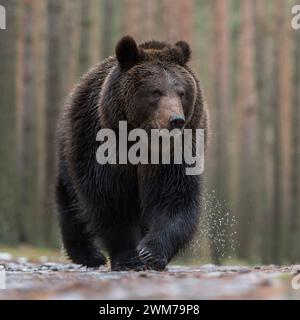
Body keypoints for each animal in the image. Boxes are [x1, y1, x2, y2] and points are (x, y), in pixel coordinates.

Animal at [55, 35, 209, 270]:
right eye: (156, 92)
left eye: (181, 92)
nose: (176, 120)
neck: (142, 144)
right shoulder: (101, 144)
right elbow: (110, 199)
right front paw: (128, 258)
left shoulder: (176, 154)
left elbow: (174, 198)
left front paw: (150, 252)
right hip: (71, 149)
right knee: (71, 202)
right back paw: (89, 255)